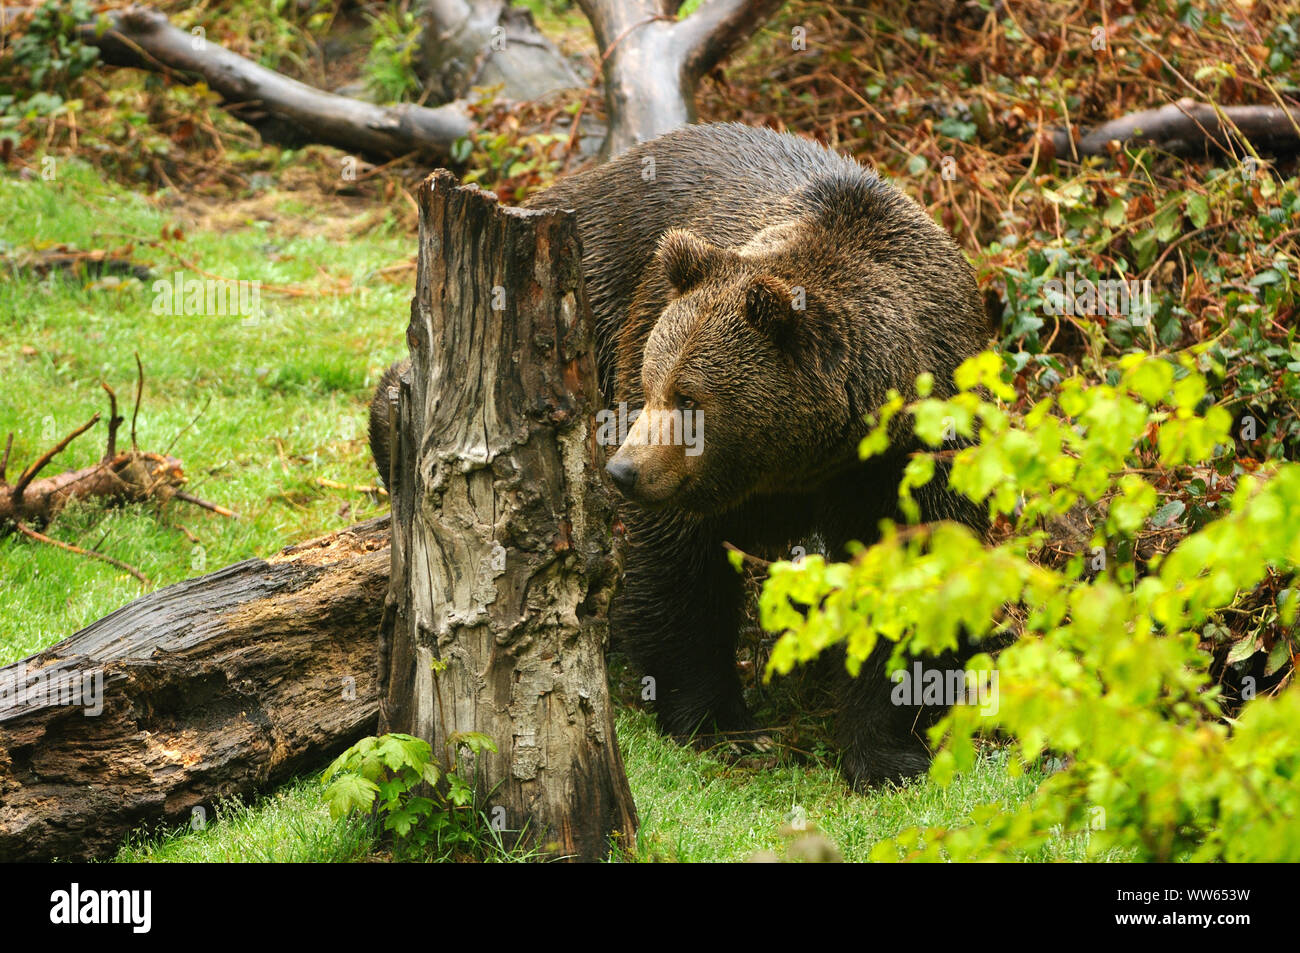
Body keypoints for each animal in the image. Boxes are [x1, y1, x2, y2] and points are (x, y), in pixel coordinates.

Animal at [370, 122, 991, 787]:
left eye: (689, 396)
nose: (623, 471)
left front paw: (888, 751)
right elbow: (677, 567)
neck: (819, 453)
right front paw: (717, 719)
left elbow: (918, 571)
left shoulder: (917, 450)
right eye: (653, 381)